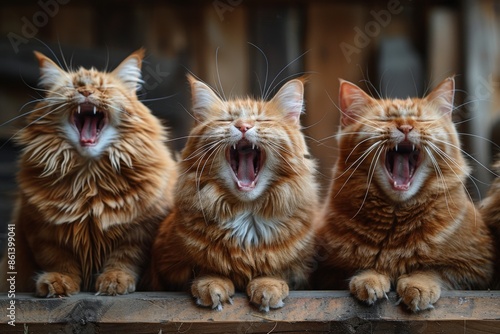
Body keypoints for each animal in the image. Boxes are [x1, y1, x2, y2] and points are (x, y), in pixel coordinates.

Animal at [0, 49, 178, 294]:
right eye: (73, 86)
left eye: (104, 87)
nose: (85, 92)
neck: (90, 180)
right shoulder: (43, 233)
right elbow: (59, 260)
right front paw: (59, 282)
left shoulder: (140, 230)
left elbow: (124, 258)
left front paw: (115, 280)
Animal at [149, 74, 320, 312]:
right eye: (226, 120)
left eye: (262, 120)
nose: (243, 126)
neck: (247, 218)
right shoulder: (165, 265)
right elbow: (205, 268)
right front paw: (212, 283)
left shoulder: (304, 267)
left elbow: (279, 269)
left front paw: (269, 284)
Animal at [314, 77, 494, 312]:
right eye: (384, 119)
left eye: (422, 120)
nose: (406, 127)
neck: (395, 220)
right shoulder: (326, 271)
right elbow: (362, 269)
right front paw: (371, 278)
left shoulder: (476, 267)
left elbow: (433, 270)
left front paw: (418, 285)